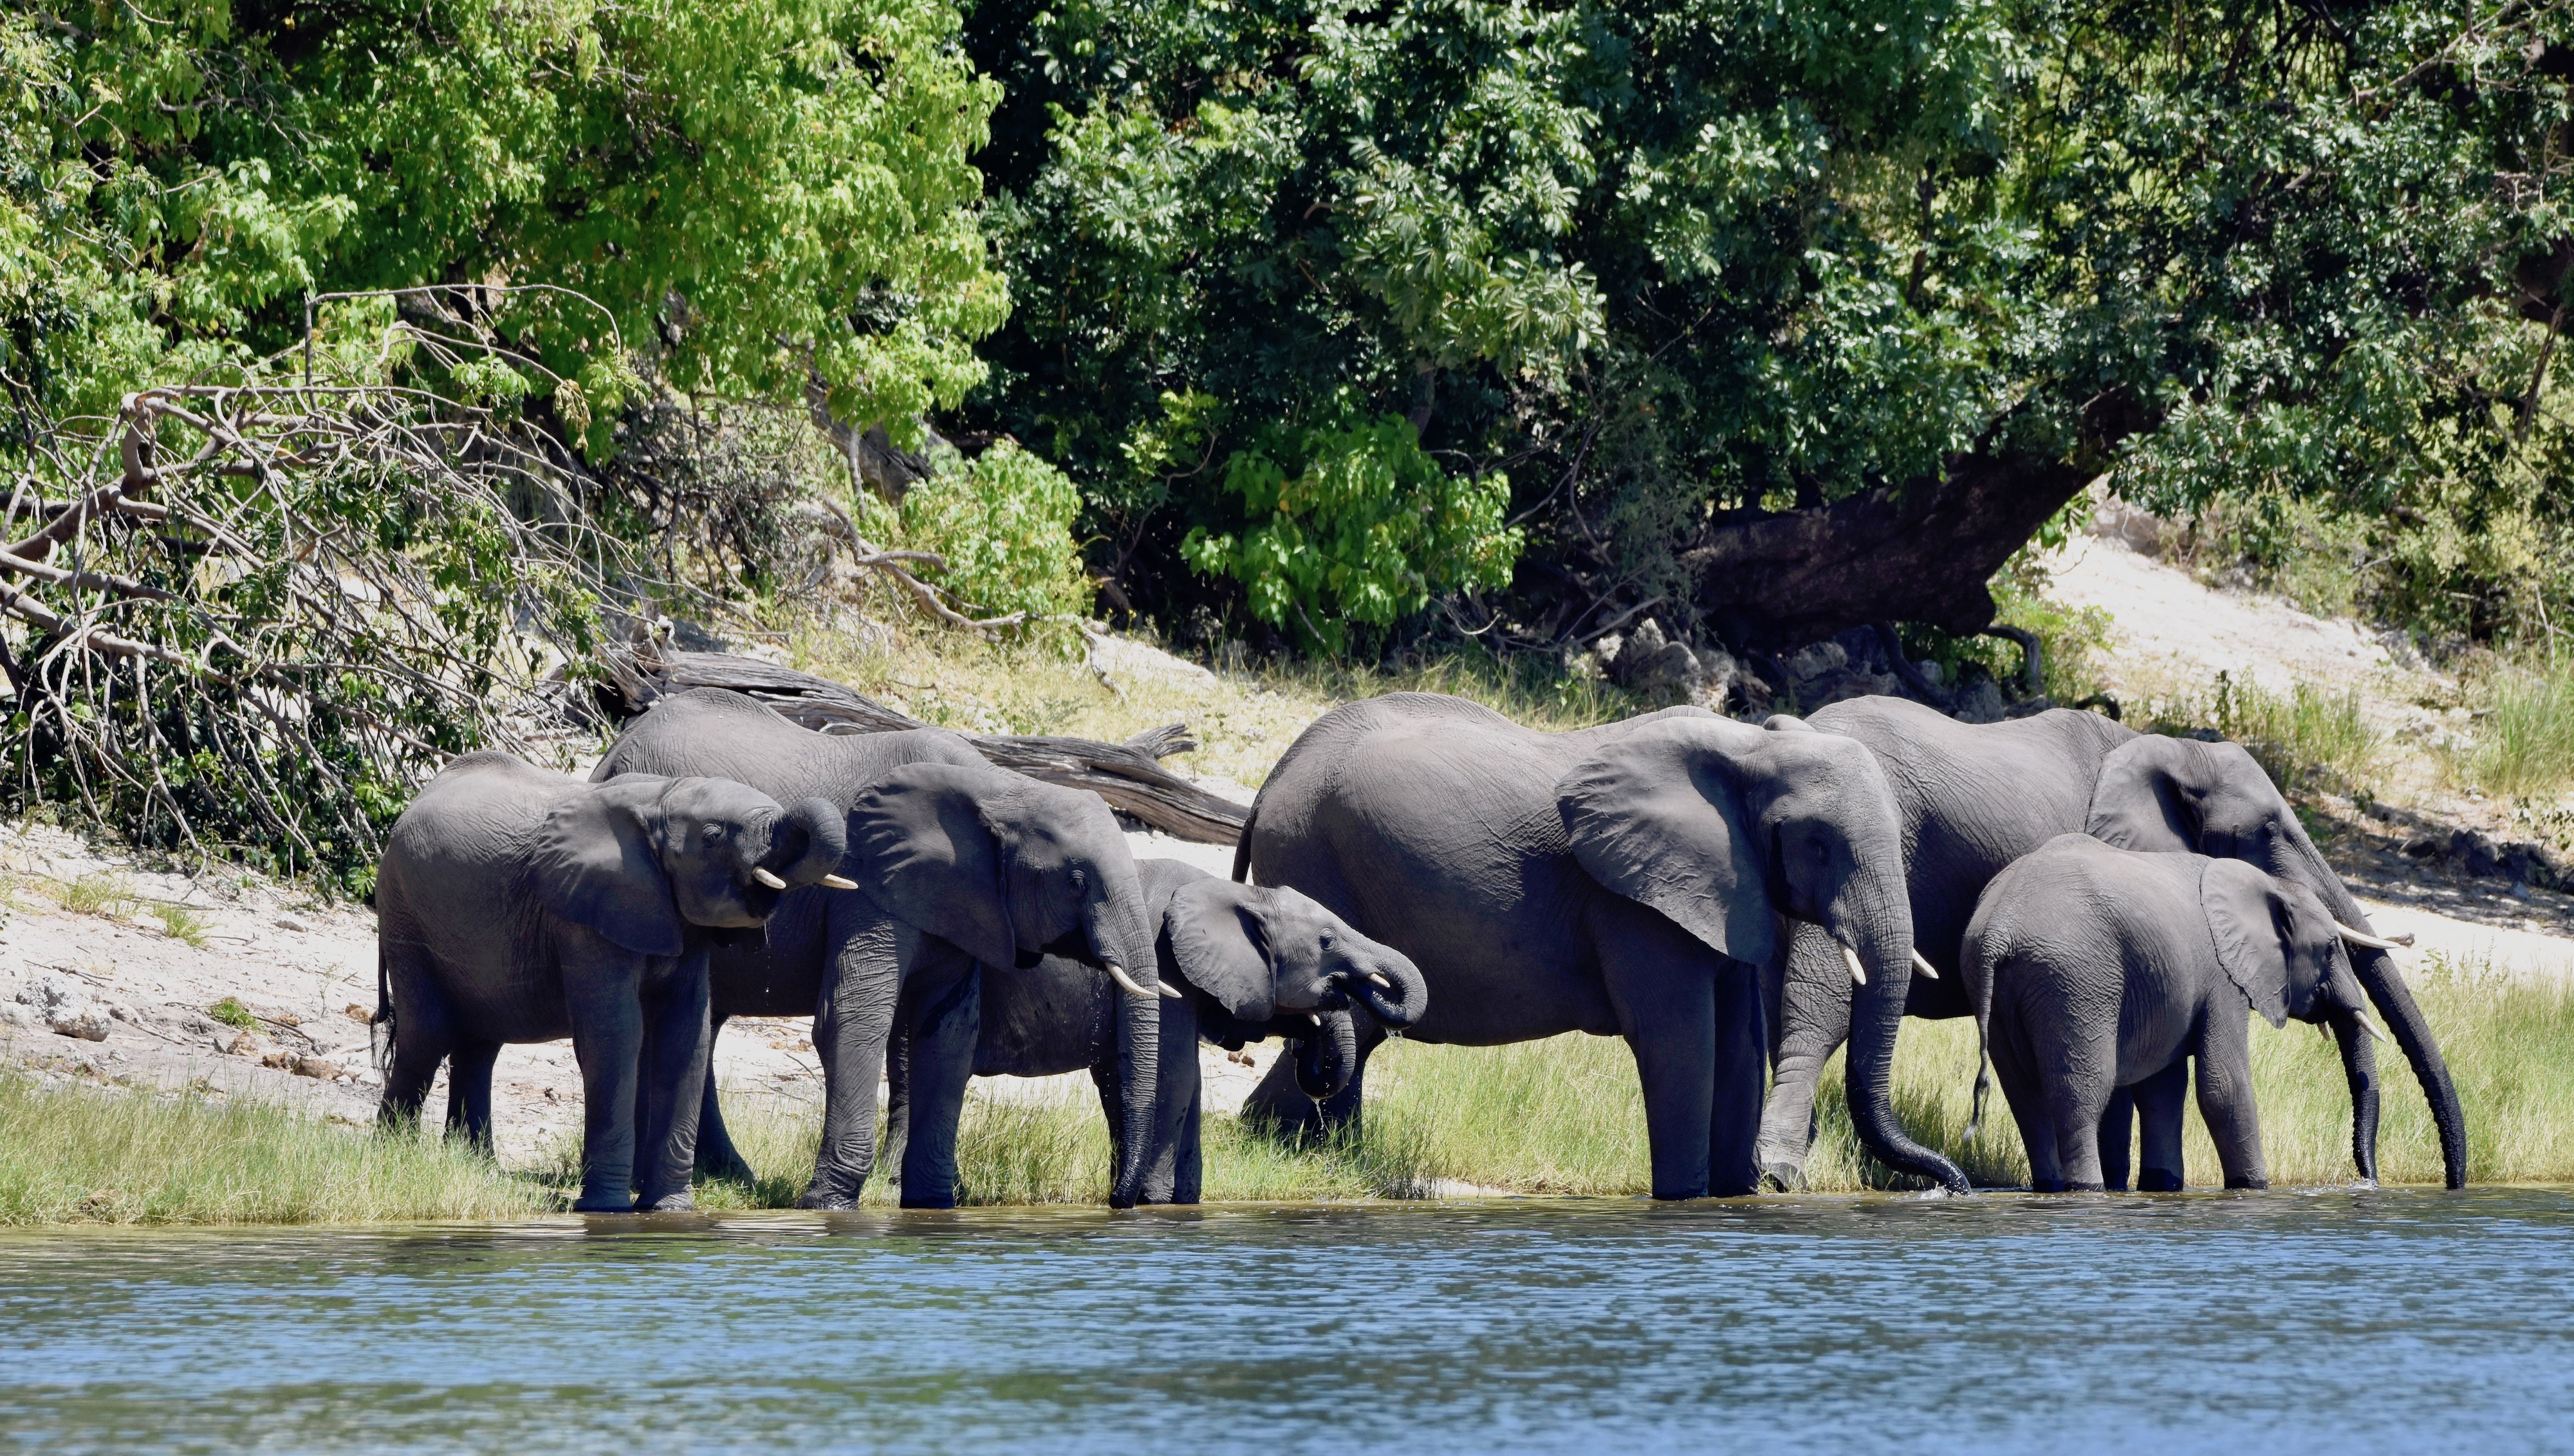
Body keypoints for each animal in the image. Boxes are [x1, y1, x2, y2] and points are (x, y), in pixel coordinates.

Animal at [373, 761, 844, 1214]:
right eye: (713, 836)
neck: (660, 798)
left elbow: (685, 1036)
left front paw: (668, 1211)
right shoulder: (585, 913)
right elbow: (615, 1035)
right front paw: (606, 1209)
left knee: (479, 1045)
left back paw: (475, 1168)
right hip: (404, 914)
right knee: (428, 1035)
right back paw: (393, 1159)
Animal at [592, 689, 1169, 1214]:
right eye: (1076, 881)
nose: (1120, 1201)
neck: (1002, 787)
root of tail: (610, 755)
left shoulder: (966, 902)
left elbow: (948, 1032)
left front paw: (931, 1204)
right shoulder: (870, 882)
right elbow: (854, 1017)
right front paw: (827, 1204)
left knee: (699, 1024)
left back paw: (726, 1178)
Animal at [1236, 694, 1956, 1199]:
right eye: (1817, 843)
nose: (1951, 1183)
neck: (1751, 747)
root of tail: (1270, 781)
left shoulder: (1724, 889)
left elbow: (1740, 1046)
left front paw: (1737, 1197)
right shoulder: (1636, 900)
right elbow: (1680, 1040)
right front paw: (1684, 1199)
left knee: (1350, 1033)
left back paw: (1293, 1145)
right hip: (1312, 857)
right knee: (1348, 1027)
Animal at [1956, 838, 2378, 1193]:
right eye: (2330, 949)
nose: (2367, 1183)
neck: (2269, 885)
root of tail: (1999, 930)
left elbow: (2164, 1088)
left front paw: (2163, 1186)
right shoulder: (2223, 978)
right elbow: (2223, 1086)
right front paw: (2254, 1188)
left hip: (1994, 984)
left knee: (2027, 1100)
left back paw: (2050, 1188)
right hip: (2074, 981)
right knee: (2081, 1095)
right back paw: (2088, 1190)